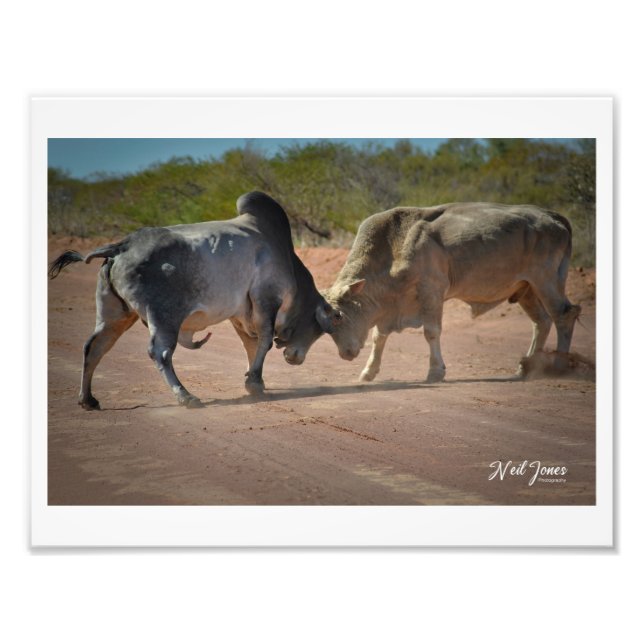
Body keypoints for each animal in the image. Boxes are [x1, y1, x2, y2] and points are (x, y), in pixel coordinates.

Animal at [48, 191, 338, 410]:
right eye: (318, 327)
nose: (296, 358)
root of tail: (121, 246)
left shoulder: (240, 314)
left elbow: (250, 345)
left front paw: (254, 381)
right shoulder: (267, 300)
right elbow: (264, 341)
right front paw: (254, 382)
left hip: (115, 315)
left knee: (94, 347)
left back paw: (88, 400)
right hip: (164, 317)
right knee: (160, 352)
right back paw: (186, 396)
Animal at [322, 202, 581, 382]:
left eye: (339, 316)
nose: (345, 353)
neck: (393, 245)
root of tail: (553, 216)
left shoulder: (432, 293)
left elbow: (431, 332)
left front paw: (435, 371)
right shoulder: (389, 310)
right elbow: (379, 336)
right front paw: (368, 371)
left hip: (546, 281)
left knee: (564, 316)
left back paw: (558, 365)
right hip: (526, 289)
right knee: (542, 322)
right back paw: (525, 368)